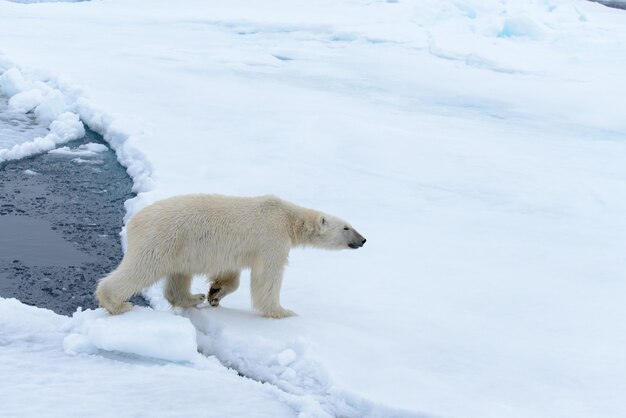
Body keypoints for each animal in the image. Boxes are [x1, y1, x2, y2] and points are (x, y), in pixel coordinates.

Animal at [95, 194, 364, 318]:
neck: (288, 218)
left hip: (180, 246)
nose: (363, 240)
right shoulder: (271, 239)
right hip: (162, 238)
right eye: (346, 228)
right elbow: (268, 277)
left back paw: (193, 297)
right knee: (143, 268)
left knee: (178, 276)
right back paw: (117, 303)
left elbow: (230, 274)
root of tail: (134, 220)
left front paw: (215, 293)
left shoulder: (231, 251)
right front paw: (283, 311)